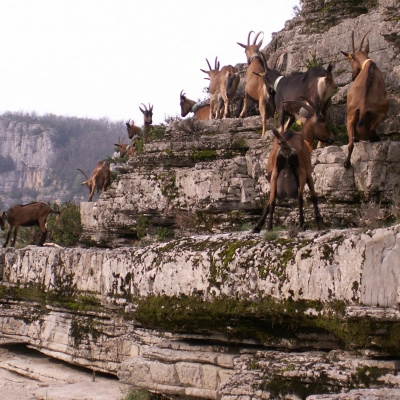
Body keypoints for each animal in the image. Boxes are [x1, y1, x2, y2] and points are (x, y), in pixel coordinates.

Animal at [340, 31, 388, 168]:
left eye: (350, 61)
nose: (353, 76)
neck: (369, 65)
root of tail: (362, 107)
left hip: (351, 116)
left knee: (351, 143)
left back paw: (346, 163)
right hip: (382, 111)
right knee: (371, 130)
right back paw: (374, 138)